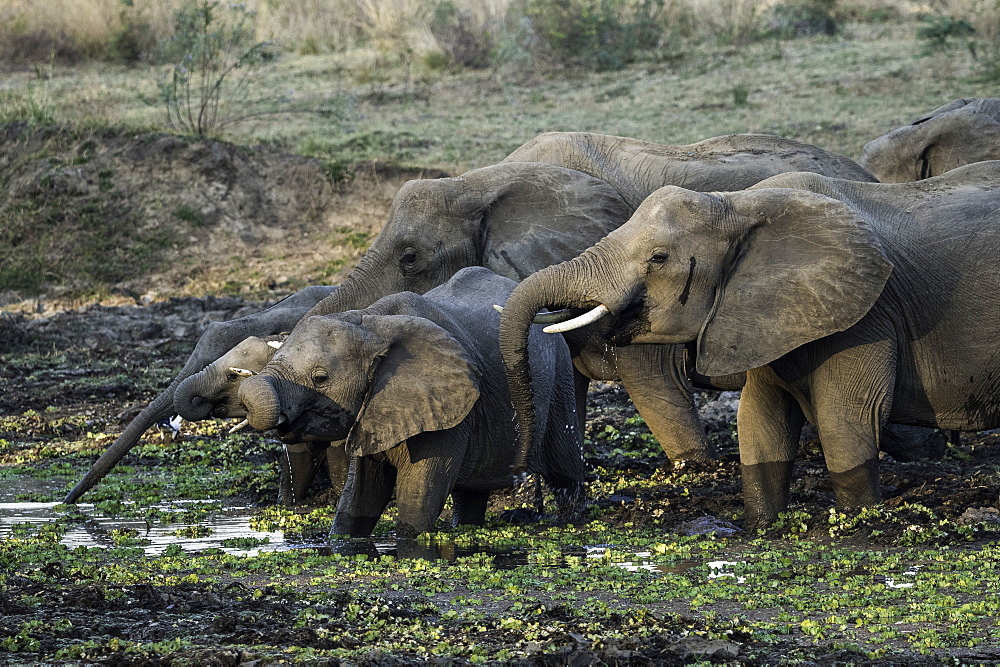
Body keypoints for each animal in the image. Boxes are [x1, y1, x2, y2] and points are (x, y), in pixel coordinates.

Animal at [239, 266, 588, 536]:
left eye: (320, 378)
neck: (370, 323)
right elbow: (360, 496)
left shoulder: (446, 412)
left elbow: (416, 500)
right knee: (470, 495)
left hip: (559, 376)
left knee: (565, 467)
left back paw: (572, 521)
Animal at [500, 163, 1000, 532]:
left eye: (659, 258)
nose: (523, 480)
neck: (737, 205)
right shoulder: (761, 313)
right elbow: (760, 419)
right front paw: (759, 527)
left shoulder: (868, 313)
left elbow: (847, 417)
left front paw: (858, 522)